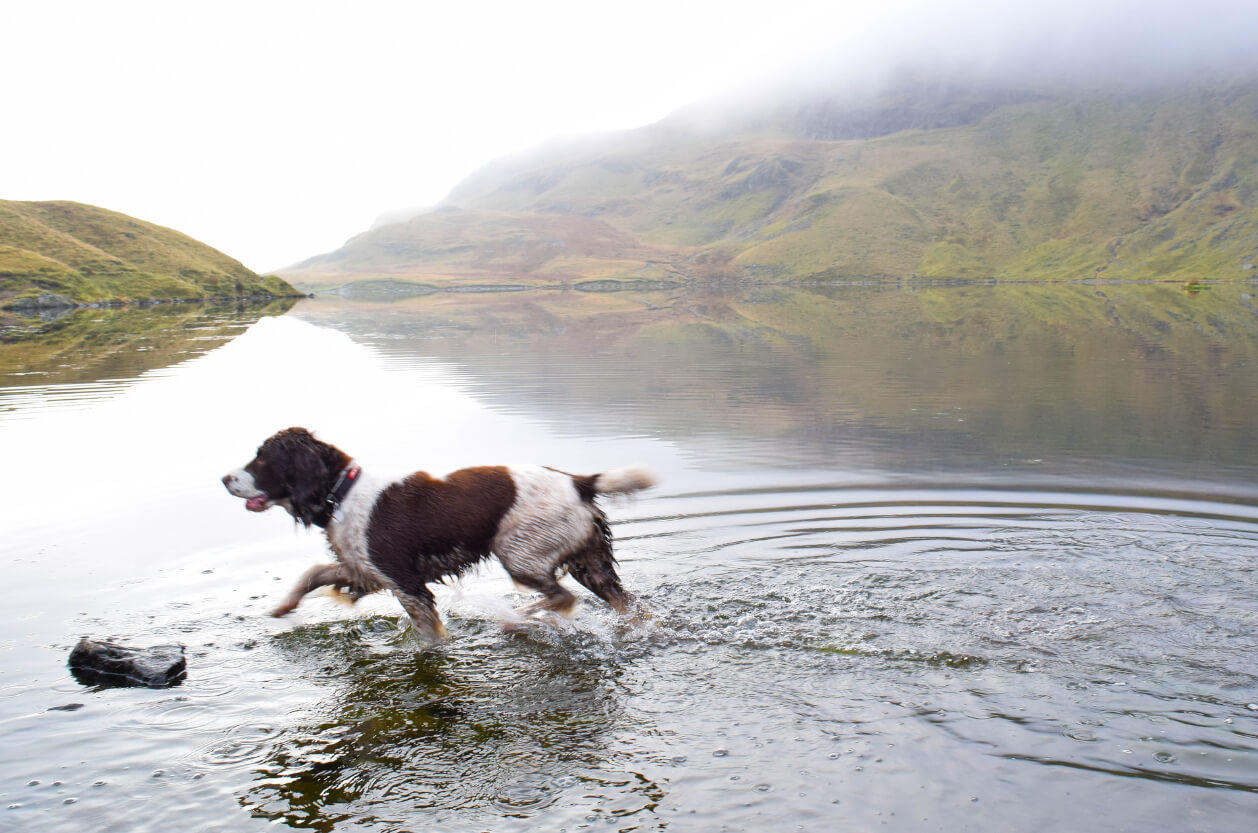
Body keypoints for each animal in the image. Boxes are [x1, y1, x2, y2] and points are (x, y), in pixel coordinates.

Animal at [222, 427, 654, 641]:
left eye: (262, 458)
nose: (225, 478)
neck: (341, 492)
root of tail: (579, 481)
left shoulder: (407, 584)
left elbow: (428, 637)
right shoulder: (367, 571)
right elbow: (312, 572)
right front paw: (282, 608)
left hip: (518, 555)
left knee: (561, 598)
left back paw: (516, 620)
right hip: (589, 564)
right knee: (629, 606)